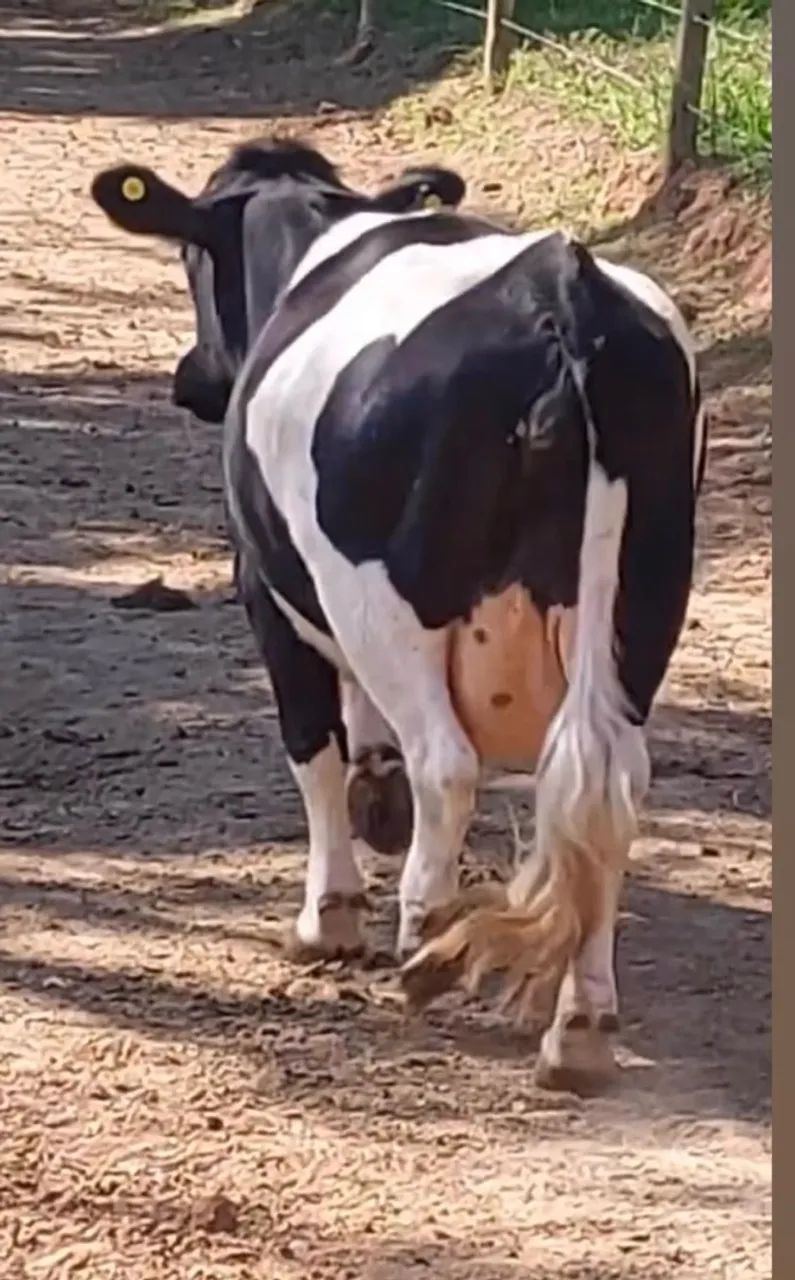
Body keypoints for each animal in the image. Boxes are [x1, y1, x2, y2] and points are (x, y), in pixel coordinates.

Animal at [90, 136, 707, 1094]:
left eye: (192, 253)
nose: (190, 380)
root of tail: (560, 291)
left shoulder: (264, 588)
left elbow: (312, 746)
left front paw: (329, 918)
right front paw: (374, 799)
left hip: (383, 597)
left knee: (446, 763)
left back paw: (424, 945)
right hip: (640, 606)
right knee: (607, 788)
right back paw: (579, 1025)